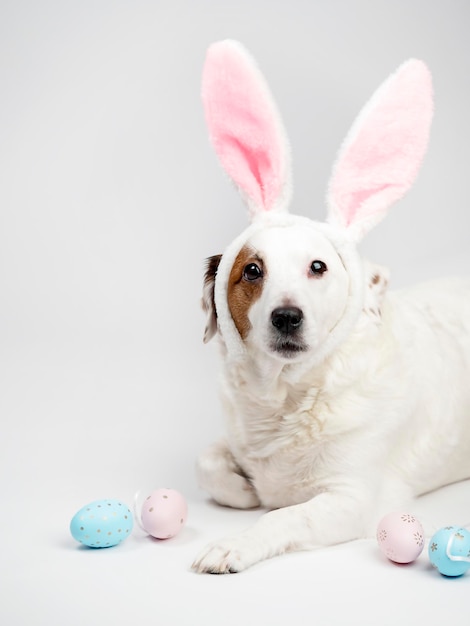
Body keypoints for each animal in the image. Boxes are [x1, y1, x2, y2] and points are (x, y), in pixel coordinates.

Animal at [191, 41, 470, 572]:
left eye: (318, 267)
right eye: (252, 271)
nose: (287, 316)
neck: (287, 398)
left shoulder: (351, 500)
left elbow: (284, 515)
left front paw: (235, 543)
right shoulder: (232, 436)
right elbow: (208, 462)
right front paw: (240, 487)